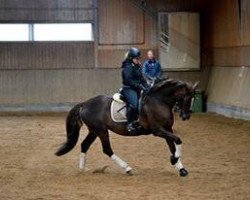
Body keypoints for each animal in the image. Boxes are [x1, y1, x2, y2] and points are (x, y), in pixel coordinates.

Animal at [55, 78, 199, 177]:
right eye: (187, 98)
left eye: (194, 99)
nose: (186, 116)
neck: (159, 101)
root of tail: (84, 104)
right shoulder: (158, 130)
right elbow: (178, 140)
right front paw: (174, 159)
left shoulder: (167, 129)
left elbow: (173, 145)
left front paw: (180, 168)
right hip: (101, 131)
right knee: (107, 149)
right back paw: (127, 168)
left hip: (94, 131)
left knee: (84, 145)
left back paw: (82, 168)